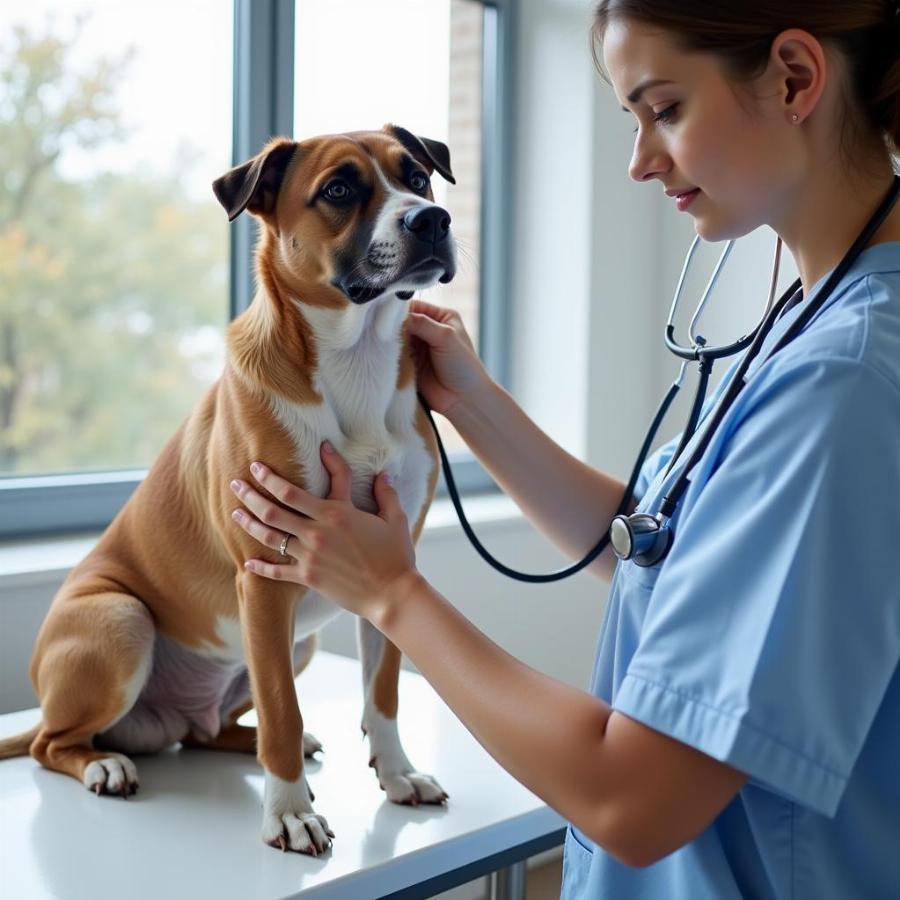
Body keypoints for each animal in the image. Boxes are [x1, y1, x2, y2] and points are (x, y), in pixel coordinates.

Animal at [1, 123, 458, 856]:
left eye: (416, 176)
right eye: (339, 189)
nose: (432, 220)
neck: (355, 360)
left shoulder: (391, 564)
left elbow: (381, 693)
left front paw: (396, 775)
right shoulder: (265, 578)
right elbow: (280, 709)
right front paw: (290, 813)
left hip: (290, 645)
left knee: (208, 730)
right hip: (122, 619)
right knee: (53, 742)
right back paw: (105, 763)